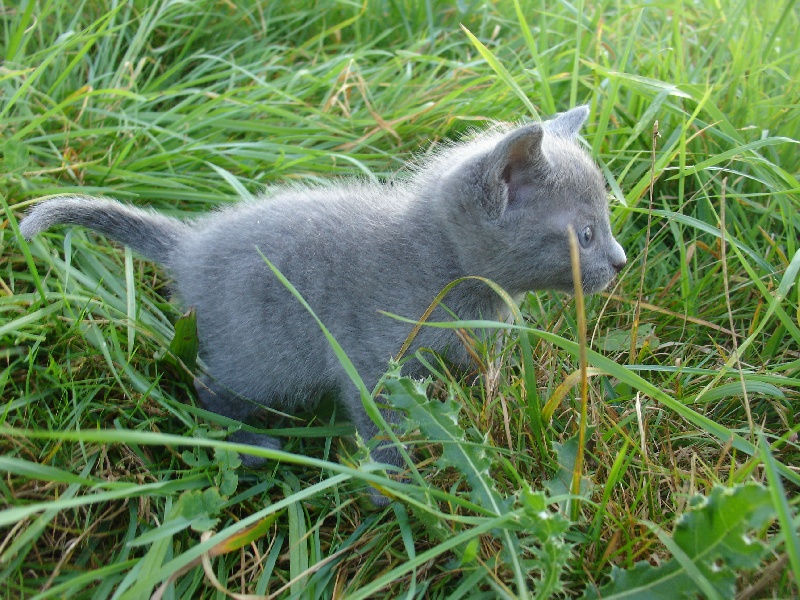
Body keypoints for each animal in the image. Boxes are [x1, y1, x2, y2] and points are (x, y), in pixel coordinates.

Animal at [18, 106, 624, 492]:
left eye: (607, 220)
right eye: (586, 235)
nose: (619, 262)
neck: (450, 272)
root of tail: (189, 245)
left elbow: (478, 377)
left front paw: (486, 409)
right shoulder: (374, 365)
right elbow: (381, 426)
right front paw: (401, 493)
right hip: (260, 356)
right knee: (208, 390)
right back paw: (253, 445)